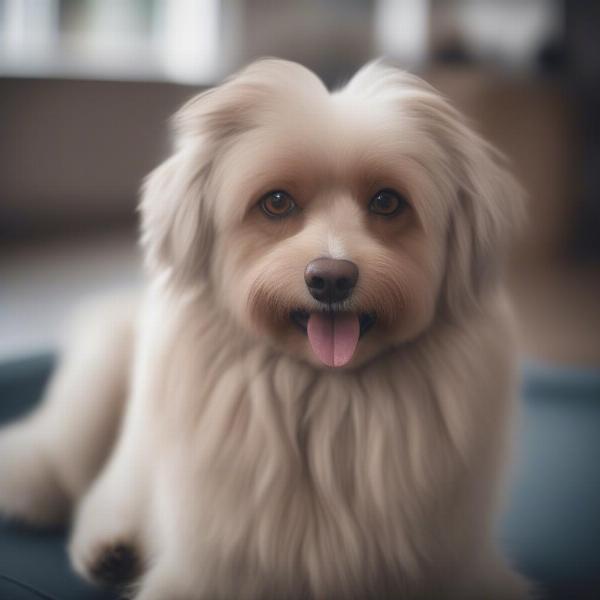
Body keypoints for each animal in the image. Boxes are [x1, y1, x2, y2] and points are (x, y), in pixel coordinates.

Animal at [0, 57, 528, 600]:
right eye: (276, 202)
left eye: (387, 201)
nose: (331, 278)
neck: (327, 400)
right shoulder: (201, 570)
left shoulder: (460, 564)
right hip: (98, 379)